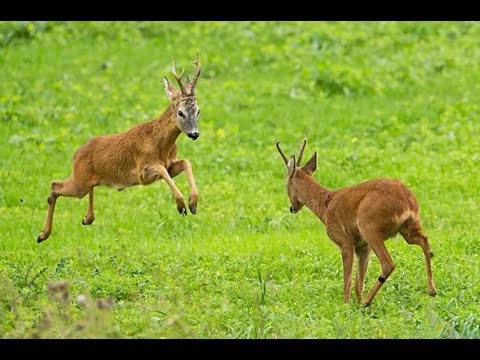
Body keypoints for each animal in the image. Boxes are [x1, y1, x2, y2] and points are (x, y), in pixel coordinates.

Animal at [37, 52, 202, 242]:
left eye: (198, 110)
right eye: (180, 112)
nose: (194, 133)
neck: (162, 144)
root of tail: (76, 154)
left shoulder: (171, 164)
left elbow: (186, 162)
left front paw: (193, 203)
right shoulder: (143, 171)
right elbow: (161, 169)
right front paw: (181, 205)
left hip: (85, 181)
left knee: (77, 189)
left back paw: (86, 219)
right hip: (79, 181)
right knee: (54, 186)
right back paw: (42, 234)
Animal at [276, 138, 436, 306]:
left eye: (287, 184)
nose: (292, 208)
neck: (325, 206)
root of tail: (407, 203)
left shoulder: (345, 242)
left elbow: (347, 280)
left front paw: (346, 305)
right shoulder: (362, 246)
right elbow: (359, 282)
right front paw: (356, 304)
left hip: (369, 228)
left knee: (388, 263)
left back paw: (366, 302)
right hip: (408, 229)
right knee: (424, 241)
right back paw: (432, 290)